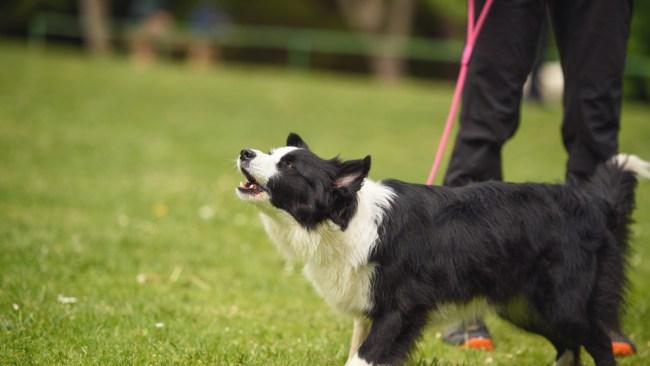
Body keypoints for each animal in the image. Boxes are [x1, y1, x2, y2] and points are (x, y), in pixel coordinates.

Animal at [235, 134, 644, 366]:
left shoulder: (401, 309)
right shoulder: (367, 308)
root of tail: (592, 202)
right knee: (570, 347)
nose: (244, 152)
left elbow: (363, 358)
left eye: (290, 165)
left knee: (599, 342)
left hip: (561, 302)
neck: (344, 221)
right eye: (270, 152)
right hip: (525, 307)